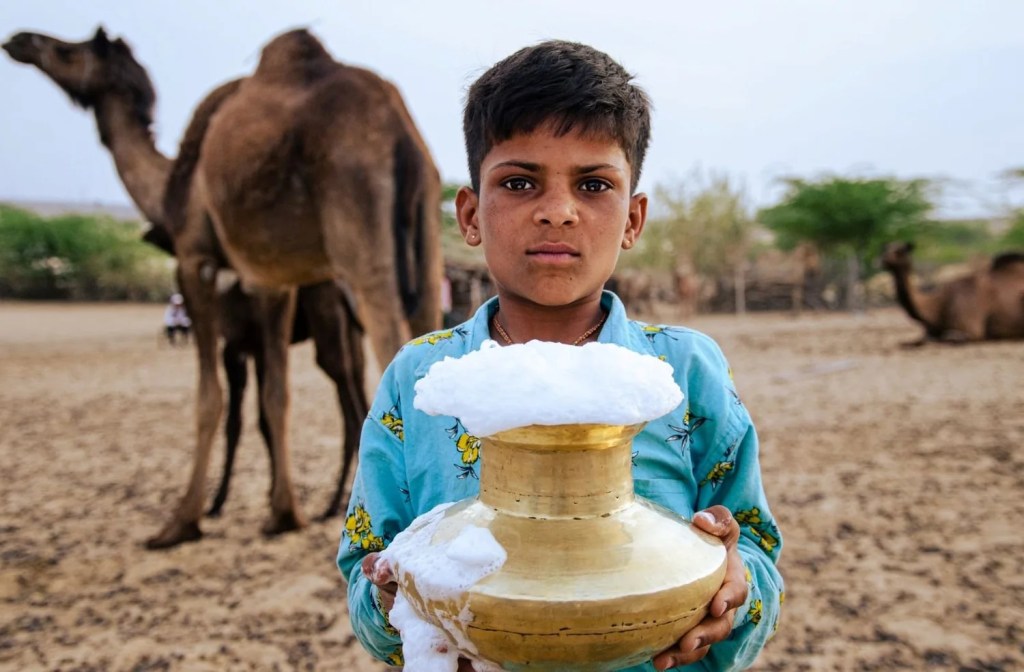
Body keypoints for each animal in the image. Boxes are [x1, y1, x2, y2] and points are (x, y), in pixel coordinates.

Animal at [2, 27, 434, 547]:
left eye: (69, 50)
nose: (20, 40)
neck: (172, 184)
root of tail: (398, 128)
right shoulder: (271, 280)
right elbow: (275, 399)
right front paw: (282, 512)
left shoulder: (195, 261)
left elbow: (209, 400)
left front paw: (182, 520)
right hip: (426, 228)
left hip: (356, 210)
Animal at [880, 241, 1024, 346]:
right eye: (885, 248)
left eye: (900, 251)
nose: (883, 260)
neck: (937, 305)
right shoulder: (930, 331)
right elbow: (915, 340)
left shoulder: (972, 330)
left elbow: (947, 337)